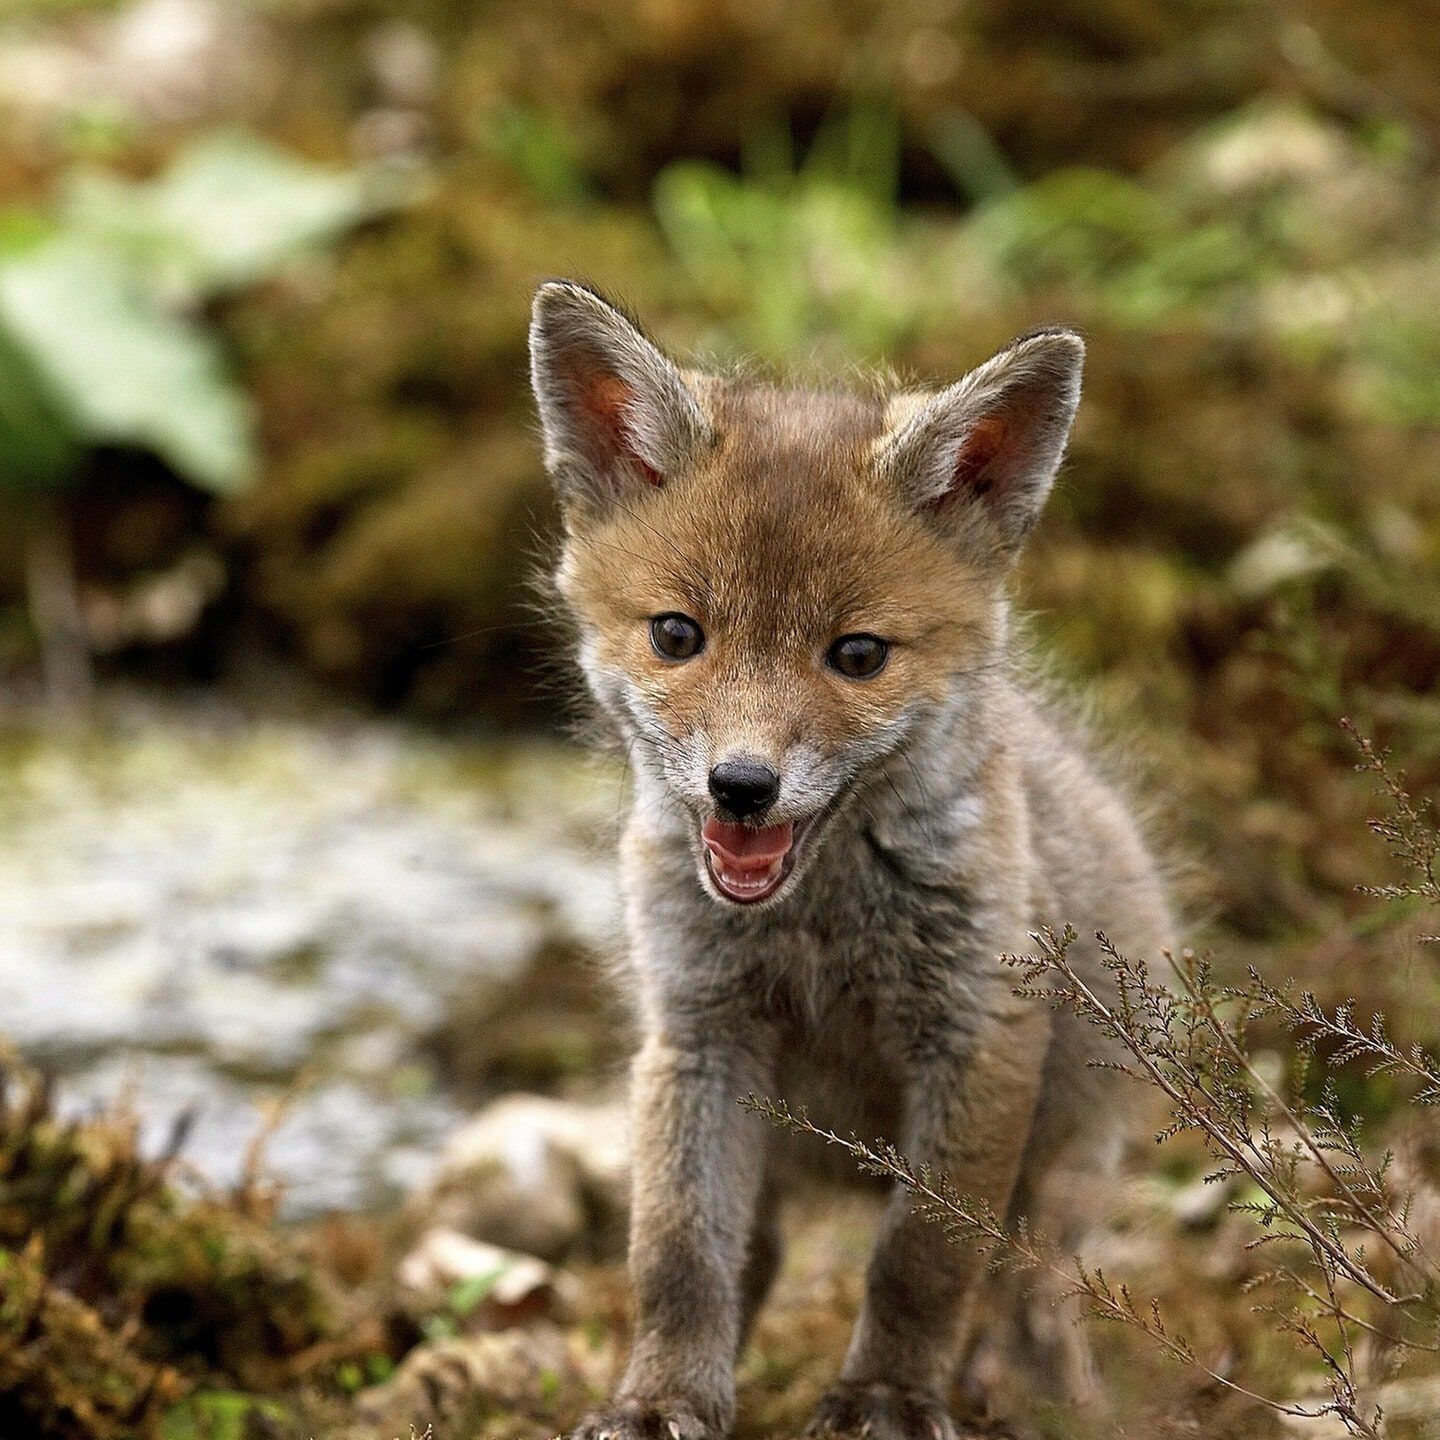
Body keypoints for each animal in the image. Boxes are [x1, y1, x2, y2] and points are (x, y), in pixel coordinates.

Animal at [528, 280, 1174, 1440]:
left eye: (858, 656)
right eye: (677, 636)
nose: (741, 786)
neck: (818, 934)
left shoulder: (979, 1037)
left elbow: (921, 1258)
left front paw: (886, 1397)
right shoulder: (701, 1036)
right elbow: (679, 1257)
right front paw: (662, 1396)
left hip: (1068, 1161)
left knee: (1033, 1284)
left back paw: (1030, 1385)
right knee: (754, 1254)